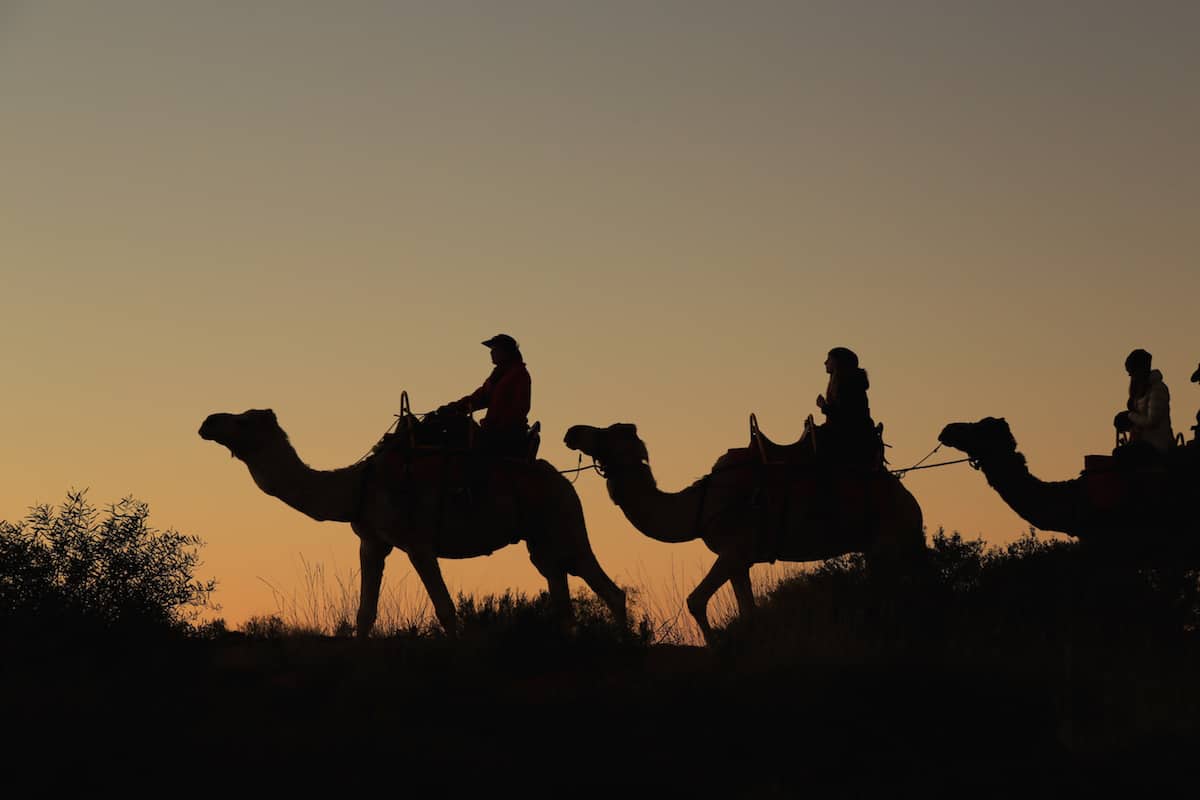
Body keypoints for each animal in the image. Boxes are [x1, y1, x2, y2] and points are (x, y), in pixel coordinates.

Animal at [196, 410, 628, 633]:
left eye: (245, 420)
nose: (208, 421)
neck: (359, 485)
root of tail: (566, 481)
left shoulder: (418, 542)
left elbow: (447, 611)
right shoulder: (372, 541)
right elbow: (364, 614)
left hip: (563, 519)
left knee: (607, 587)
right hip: (540, 538)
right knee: (560, 590)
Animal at [564, 424, 926, 642]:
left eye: (607, 432)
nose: (572, 431)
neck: (700, 505)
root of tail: (909, 499)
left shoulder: (735, 549)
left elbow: (696, 600)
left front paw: (717, 649)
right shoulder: (740, 561)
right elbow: (747, 612)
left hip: (890, 538)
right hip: (880, 546)